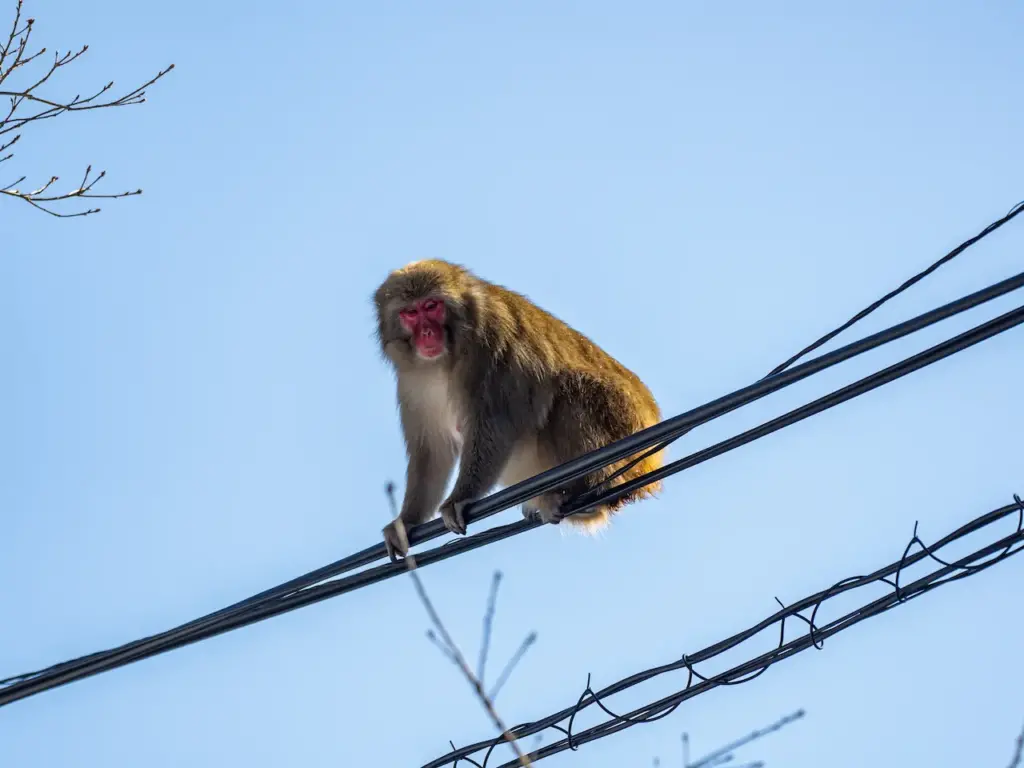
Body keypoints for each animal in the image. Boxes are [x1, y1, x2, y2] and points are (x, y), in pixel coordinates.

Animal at [374, 259, 663, 561]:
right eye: (410, 313)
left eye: (431, 306)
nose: (427, 333)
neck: (444, 359)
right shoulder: (413, 382)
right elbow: (432, 450)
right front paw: (406, 521)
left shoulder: (488, 347)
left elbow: (494, 425)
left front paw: (460, 498)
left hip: (625, 424)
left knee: (572, 389)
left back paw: (590, 493)